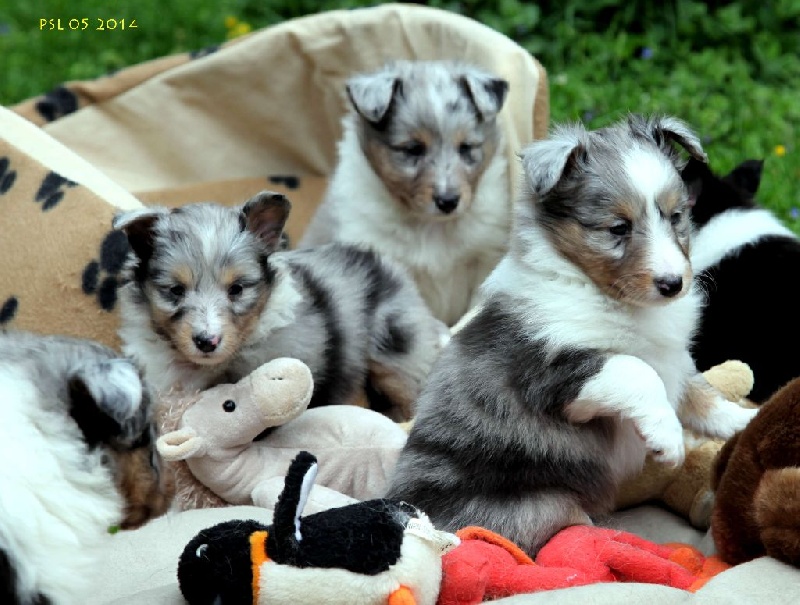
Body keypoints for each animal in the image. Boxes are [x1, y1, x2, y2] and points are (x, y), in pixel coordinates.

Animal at [384, 114, 760, 556]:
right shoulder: (553, 376)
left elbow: (702, 394)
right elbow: (635, 370)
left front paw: (744, 420)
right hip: (540, 506)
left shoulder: (673, 359)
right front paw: (667, 440)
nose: (672, 284)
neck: (611, 298)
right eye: (618, 227)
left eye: (676, 216)